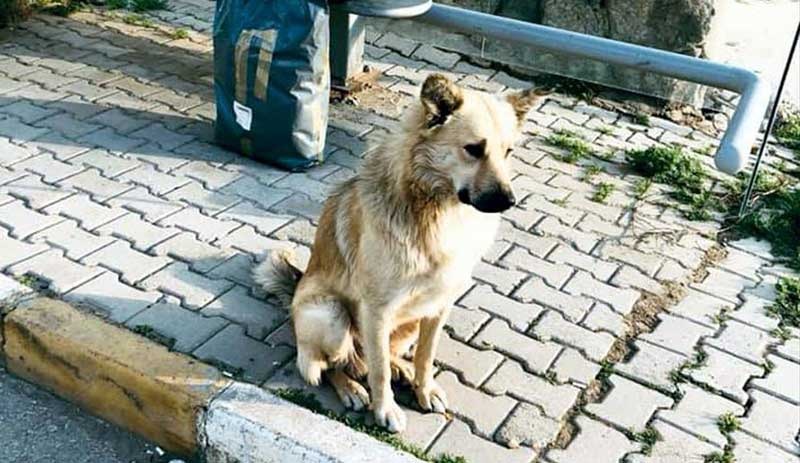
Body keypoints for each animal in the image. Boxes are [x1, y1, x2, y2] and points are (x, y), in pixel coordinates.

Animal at [255, 74, 544, 434]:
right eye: (474, 150)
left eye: (508, 152)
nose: (509, 201)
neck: (437, 211)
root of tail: (296, 288)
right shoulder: (376, 310)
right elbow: (377, 371)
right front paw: (385, 409)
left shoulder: (439, 306)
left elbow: (424, 356)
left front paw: (423, 388)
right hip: (331, 315)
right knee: (331, 364)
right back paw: (351, 388)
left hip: (408, 323)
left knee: (370, 356)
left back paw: (399, 370)